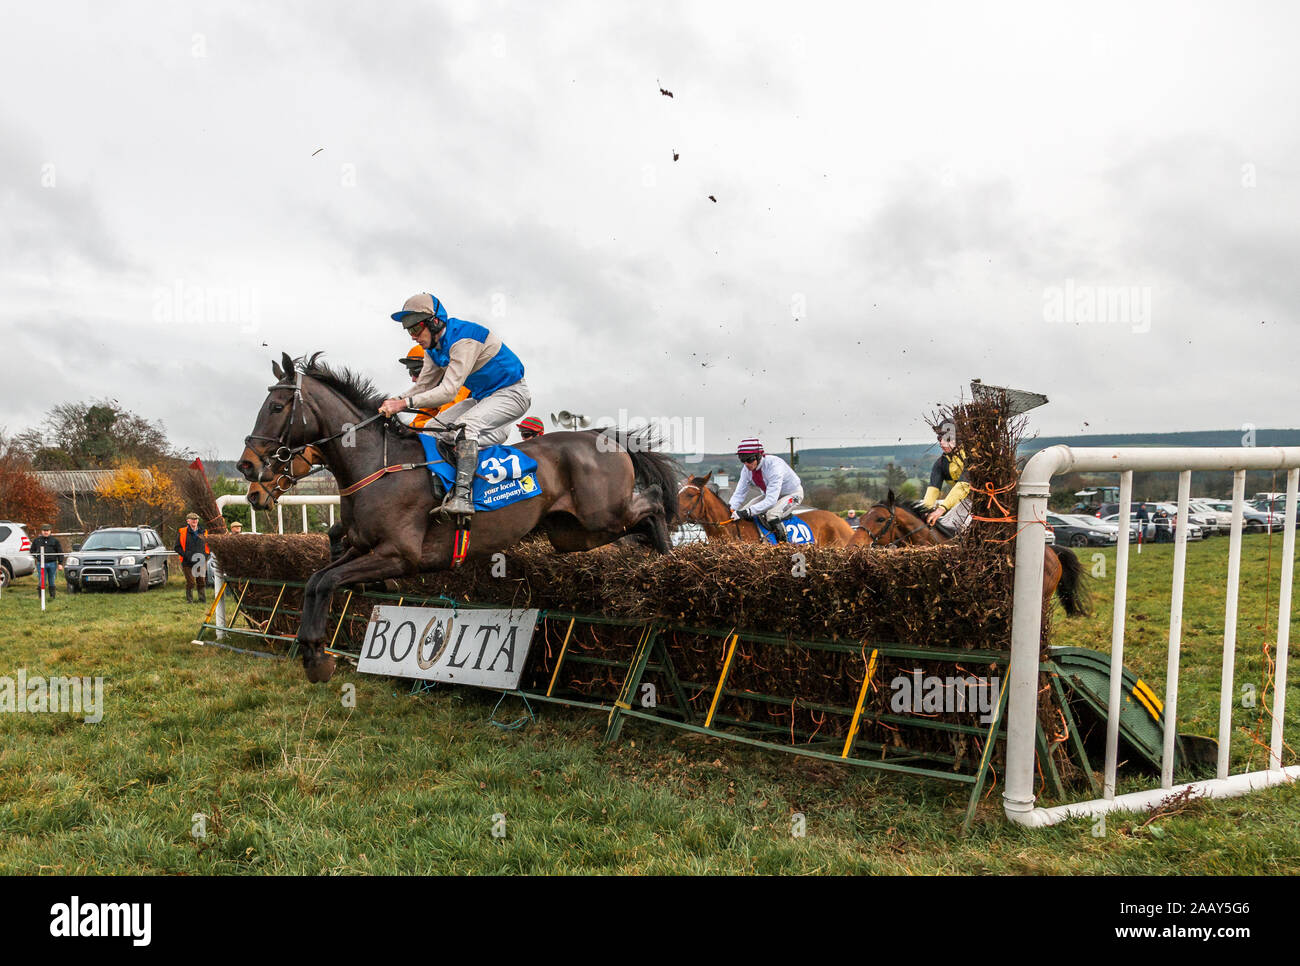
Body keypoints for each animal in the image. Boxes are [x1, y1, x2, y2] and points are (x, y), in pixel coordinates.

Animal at [239, 353, 681, 681]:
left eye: (275, 407)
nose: (247, 469)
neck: (378, 465)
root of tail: (605, 438)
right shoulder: (364, 547)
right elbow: (318, 580)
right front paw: (315, 654)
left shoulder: (399, 554)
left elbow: (327, 580)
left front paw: (316, 654)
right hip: (573, 533)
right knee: (636, 521)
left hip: (601, 514)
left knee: (653, 502)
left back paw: (666, 559)